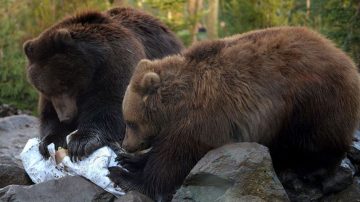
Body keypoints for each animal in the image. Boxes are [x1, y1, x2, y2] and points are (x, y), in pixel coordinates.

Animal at [23, 7, 183, 160]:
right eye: (45, 90)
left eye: (65, 85)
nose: (66, 118)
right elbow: (48, 114)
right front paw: (49, 141)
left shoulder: (116, 64)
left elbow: (110, 104)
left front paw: (81, 142)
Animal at [108, 26, 360, 200]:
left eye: (130, 122)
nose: (126, 144)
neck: (176, 106)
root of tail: (346, 59)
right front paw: (129, 160)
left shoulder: (203, 119)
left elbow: (173, 160)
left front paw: (123, 175)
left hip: (312, 102)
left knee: (315, 143)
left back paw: (308, 172)